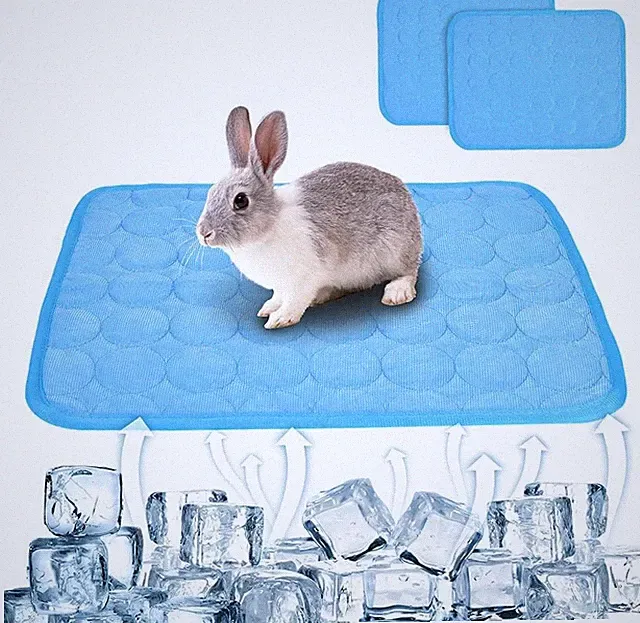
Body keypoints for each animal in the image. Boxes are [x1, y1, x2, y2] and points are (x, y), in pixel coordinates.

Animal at [196, 106, 422, 329]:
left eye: (241, 200)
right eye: (210, 192)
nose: (204, 233)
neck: (270, 225)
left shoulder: (302, 280)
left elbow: (294, 301)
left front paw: (280, 319)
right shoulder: (281, 286)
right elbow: (279, 297)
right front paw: (268, 308)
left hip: (395, 251)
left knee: (409, 272)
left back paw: (397, 293)